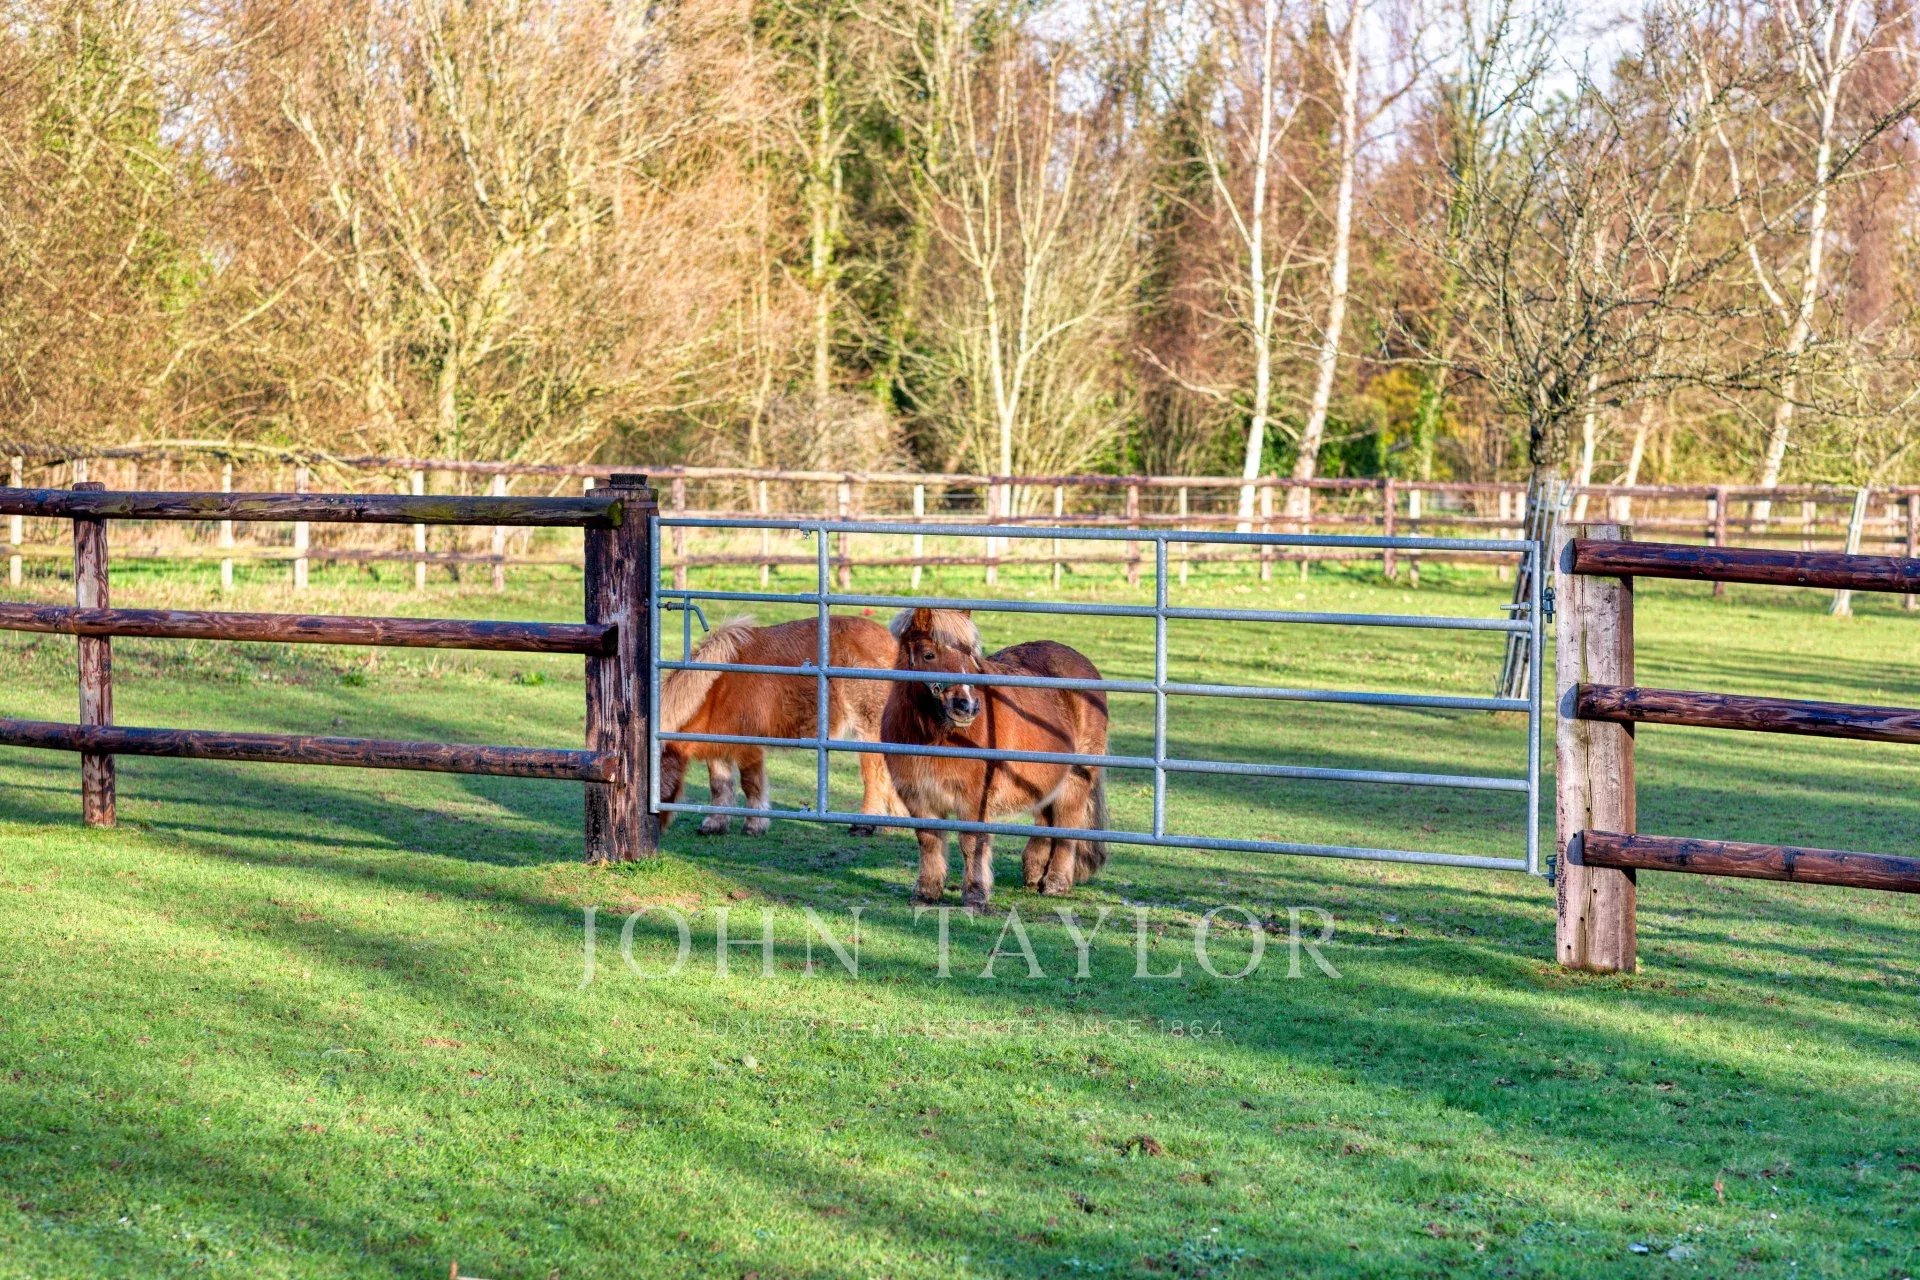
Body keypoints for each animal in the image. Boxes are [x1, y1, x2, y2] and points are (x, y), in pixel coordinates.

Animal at [658, 615, 906, 836]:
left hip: (869, 731)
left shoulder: (749, 747)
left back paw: (865, 824)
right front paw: (715, 824)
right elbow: (719, 785)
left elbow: (751, 784)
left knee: (874, 775)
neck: (719, 687)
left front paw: (755, 826)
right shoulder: (717, 745)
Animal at [881, 607, 1109, 909]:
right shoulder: (917, 795)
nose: (966, 706)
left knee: (1067, 827)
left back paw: (1055, 883)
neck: (933, 736)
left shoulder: (974, 798)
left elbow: (972, 843)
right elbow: (928, 840)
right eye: (928, 654)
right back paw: (1034, 874)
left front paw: (975, 894)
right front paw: (926, 892)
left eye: (969, 656)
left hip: (1075, 779)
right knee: (1045, 821)